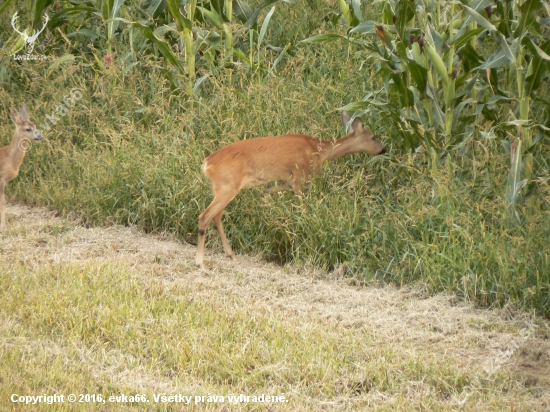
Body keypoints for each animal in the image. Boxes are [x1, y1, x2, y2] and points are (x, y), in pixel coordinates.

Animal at [197, 111, 388, 268]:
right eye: (373, 137)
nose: (384, 150)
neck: (319, 151)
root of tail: (207, 164)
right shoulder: (300, 178)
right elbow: (300, 210)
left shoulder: (288, 180)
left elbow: (270, 191)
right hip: (227, 186)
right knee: (205, 216)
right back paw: (200, 262)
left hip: (223, 188)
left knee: (216, 216)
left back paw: (231, 254)